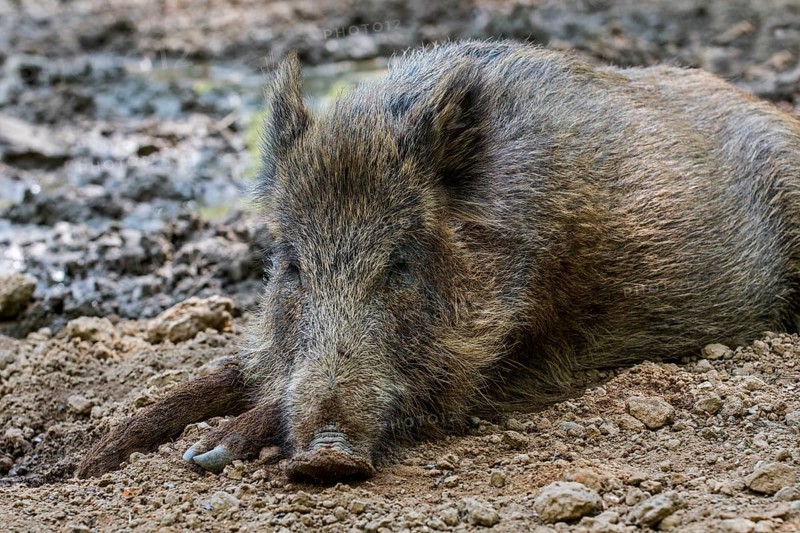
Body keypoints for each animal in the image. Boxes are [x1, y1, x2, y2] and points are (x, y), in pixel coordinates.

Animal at [77, 40, 800, 482]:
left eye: (400, 262)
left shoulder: (499, 360)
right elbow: (227, 371)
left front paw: (207, 453)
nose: (325, 458)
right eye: (291, 266)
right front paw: (86, 463)